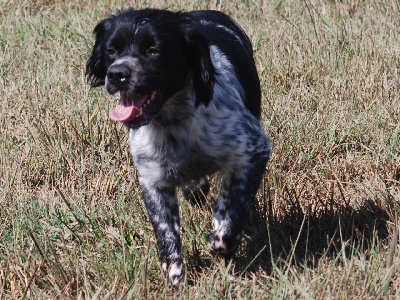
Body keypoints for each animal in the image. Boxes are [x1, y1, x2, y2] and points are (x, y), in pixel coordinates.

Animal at [86, 8, 270, 286]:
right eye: (111, 51)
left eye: (154, 50)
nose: (117, 74)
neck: (172, 121)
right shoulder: (153, 179)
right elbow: (166, 233)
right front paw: (174, 279)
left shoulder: (254, 149)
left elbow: (233, 217)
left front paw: (218, 241)